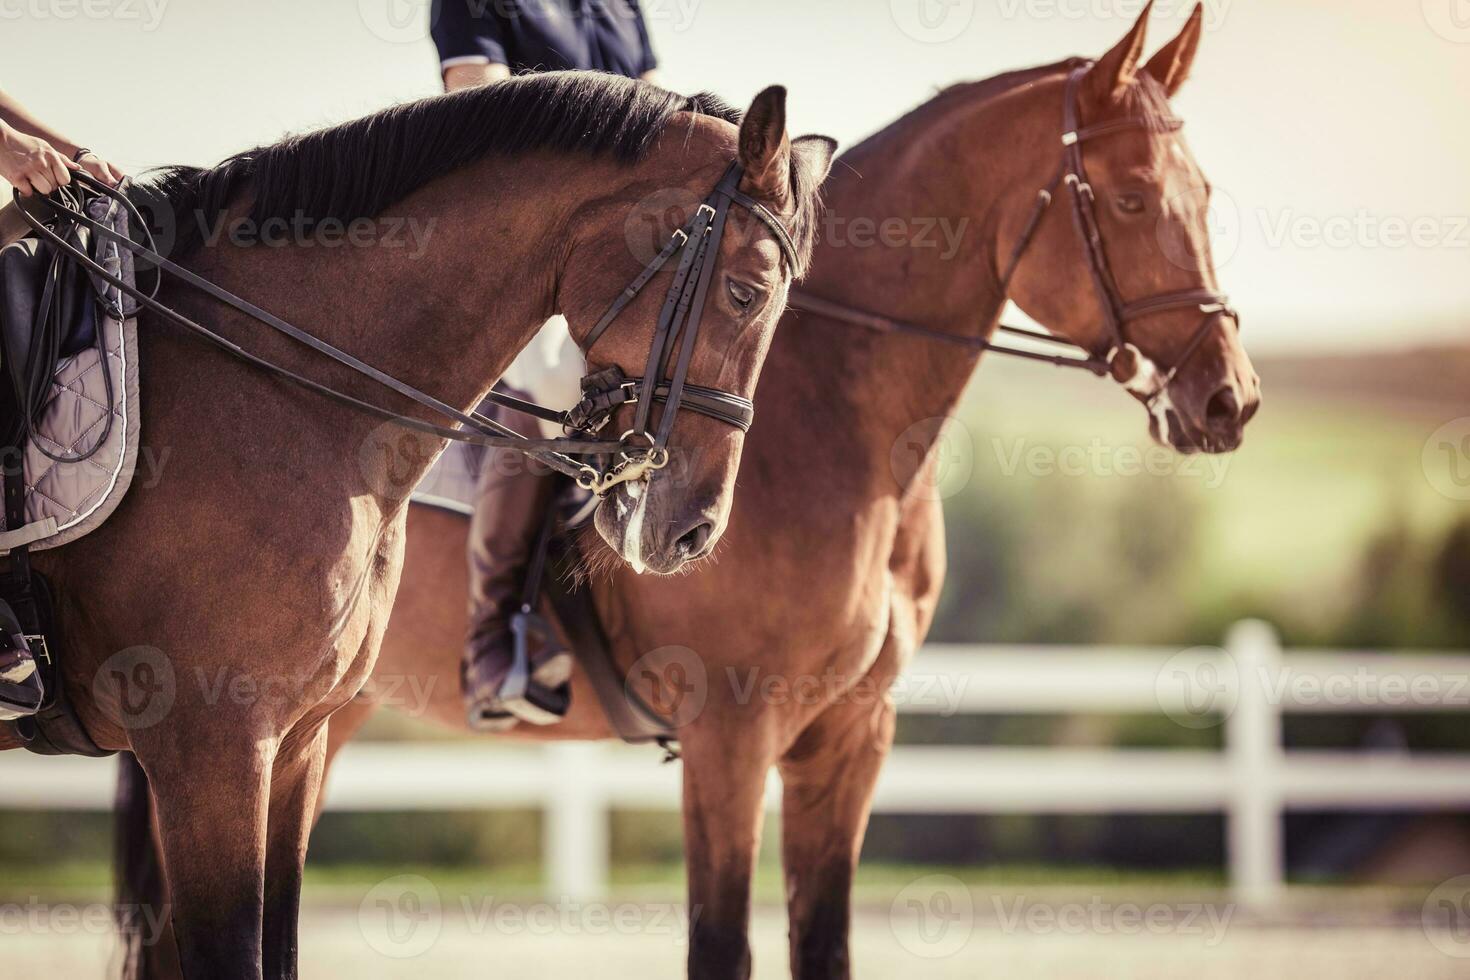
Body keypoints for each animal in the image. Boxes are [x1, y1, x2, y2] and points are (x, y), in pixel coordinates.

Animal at [129, 3, 1264, 975]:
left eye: (1208, 194)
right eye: (1131, 197)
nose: (1230, 398)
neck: (839, 426)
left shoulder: (852, 737)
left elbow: (824, 942)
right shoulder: (732, 733)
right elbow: (722, 946)